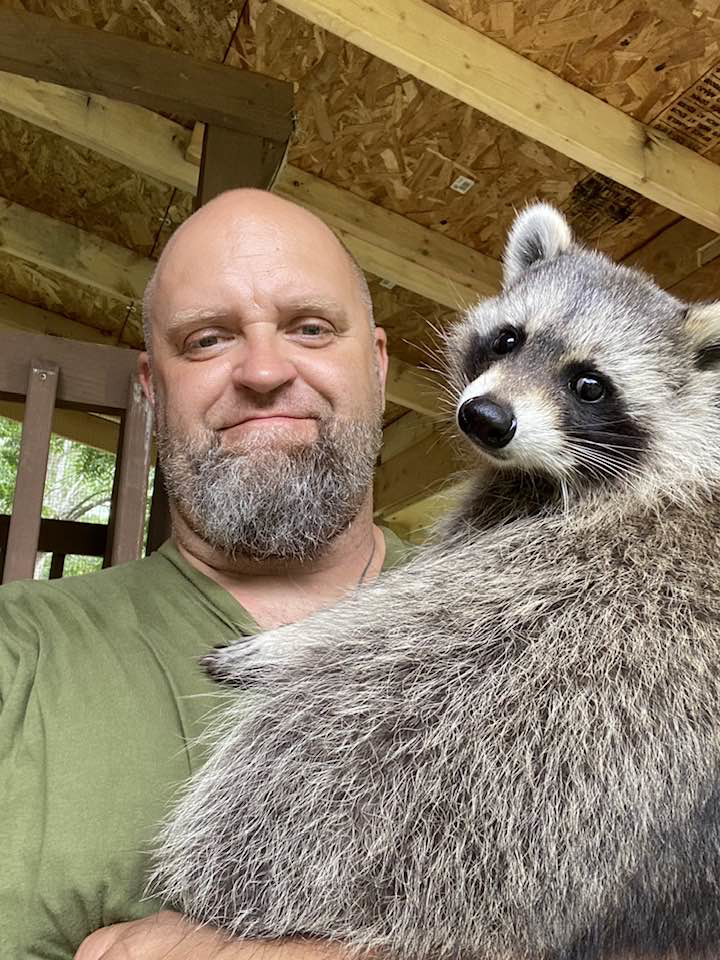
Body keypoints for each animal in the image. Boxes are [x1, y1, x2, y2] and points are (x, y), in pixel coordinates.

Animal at [153, 204, 720, 960]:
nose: (486, 418)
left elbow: (412, 595)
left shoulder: (598, 542)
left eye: (589, 383)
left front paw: (294, 640)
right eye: (508, 338)